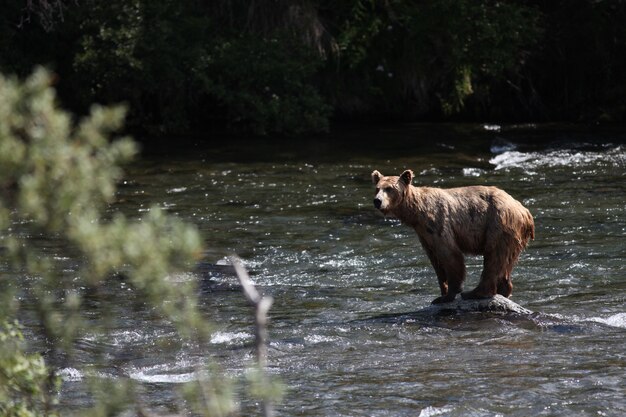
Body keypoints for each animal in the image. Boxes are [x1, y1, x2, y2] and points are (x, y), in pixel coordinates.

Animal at [370, 168, 532, 302]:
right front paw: (442, 292)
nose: (377, 201)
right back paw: (503, 290)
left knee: (493, 257)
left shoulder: (438, 223)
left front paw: (449, 294)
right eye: (377, 188)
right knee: (505, 263)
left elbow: (450, 255)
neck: (417, 214)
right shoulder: (424, 234)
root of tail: (525, 211)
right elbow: (436, 261)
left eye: (389, 188)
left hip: (498, 225)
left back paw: (475, 293)